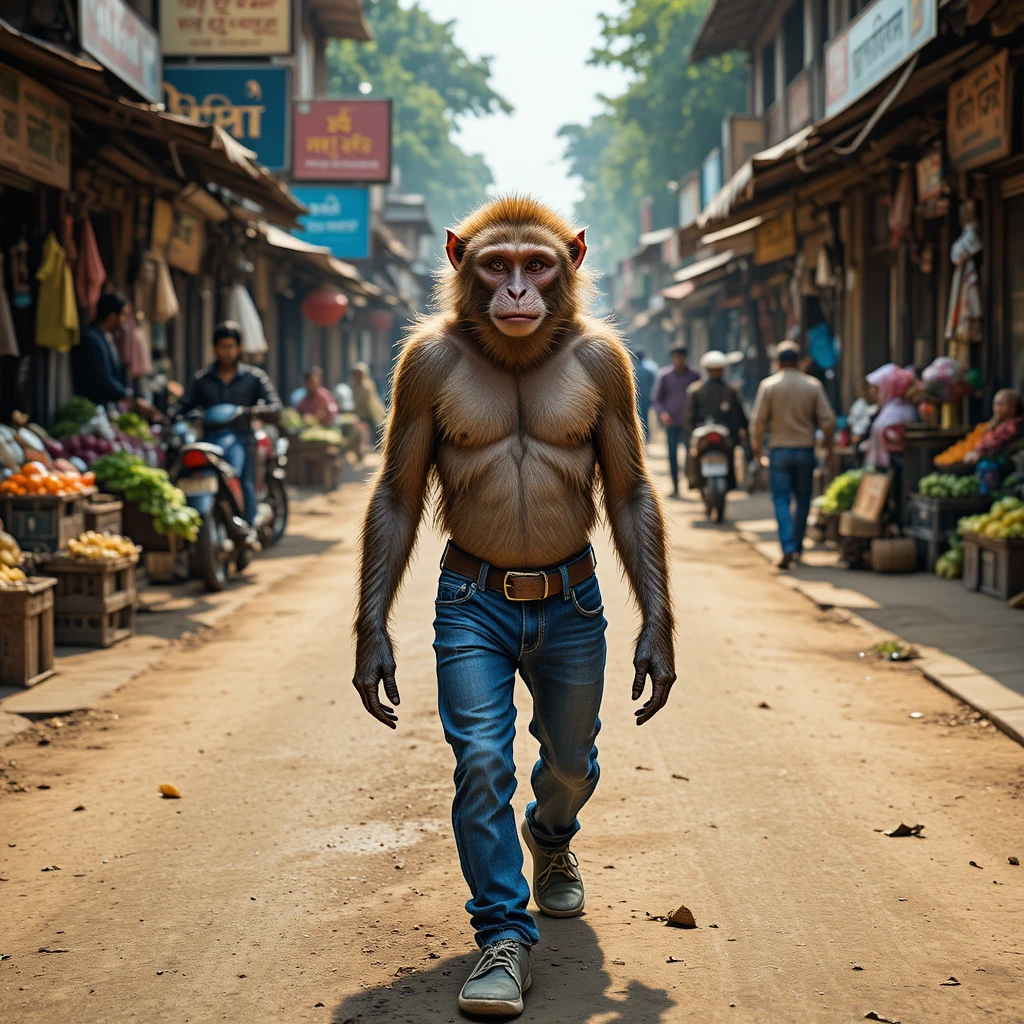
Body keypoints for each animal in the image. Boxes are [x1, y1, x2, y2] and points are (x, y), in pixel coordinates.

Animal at [351, 196, 675, 1016]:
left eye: (538, 264)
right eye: (497, 264)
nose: (519, 292)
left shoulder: (611, 367)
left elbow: (630, 490)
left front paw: (658, 650)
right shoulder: (419, 367)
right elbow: (397, 493)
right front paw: (500, 952)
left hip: (573, 654)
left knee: (568, 756)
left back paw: (553, 861)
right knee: (528, 764)